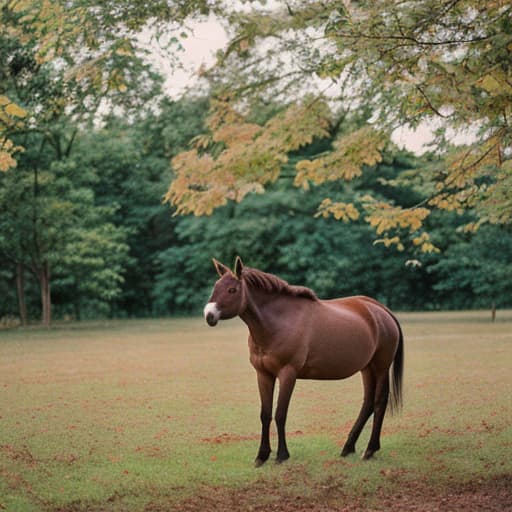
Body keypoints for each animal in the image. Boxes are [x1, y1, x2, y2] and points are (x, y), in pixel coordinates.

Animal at [204, 258, 404, 466]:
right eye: (216, 286)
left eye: (232, 290)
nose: (208, 315)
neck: (279, 321)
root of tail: (380, 310)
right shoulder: (263, 374)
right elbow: (265, 414)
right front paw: (262, 455)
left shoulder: (288, 373)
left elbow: (280, 414)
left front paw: (282, 455)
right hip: (367, 368)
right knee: (368, 404)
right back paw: (348, 447)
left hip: (381, 368)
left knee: (380, 402)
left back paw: (370, 449)